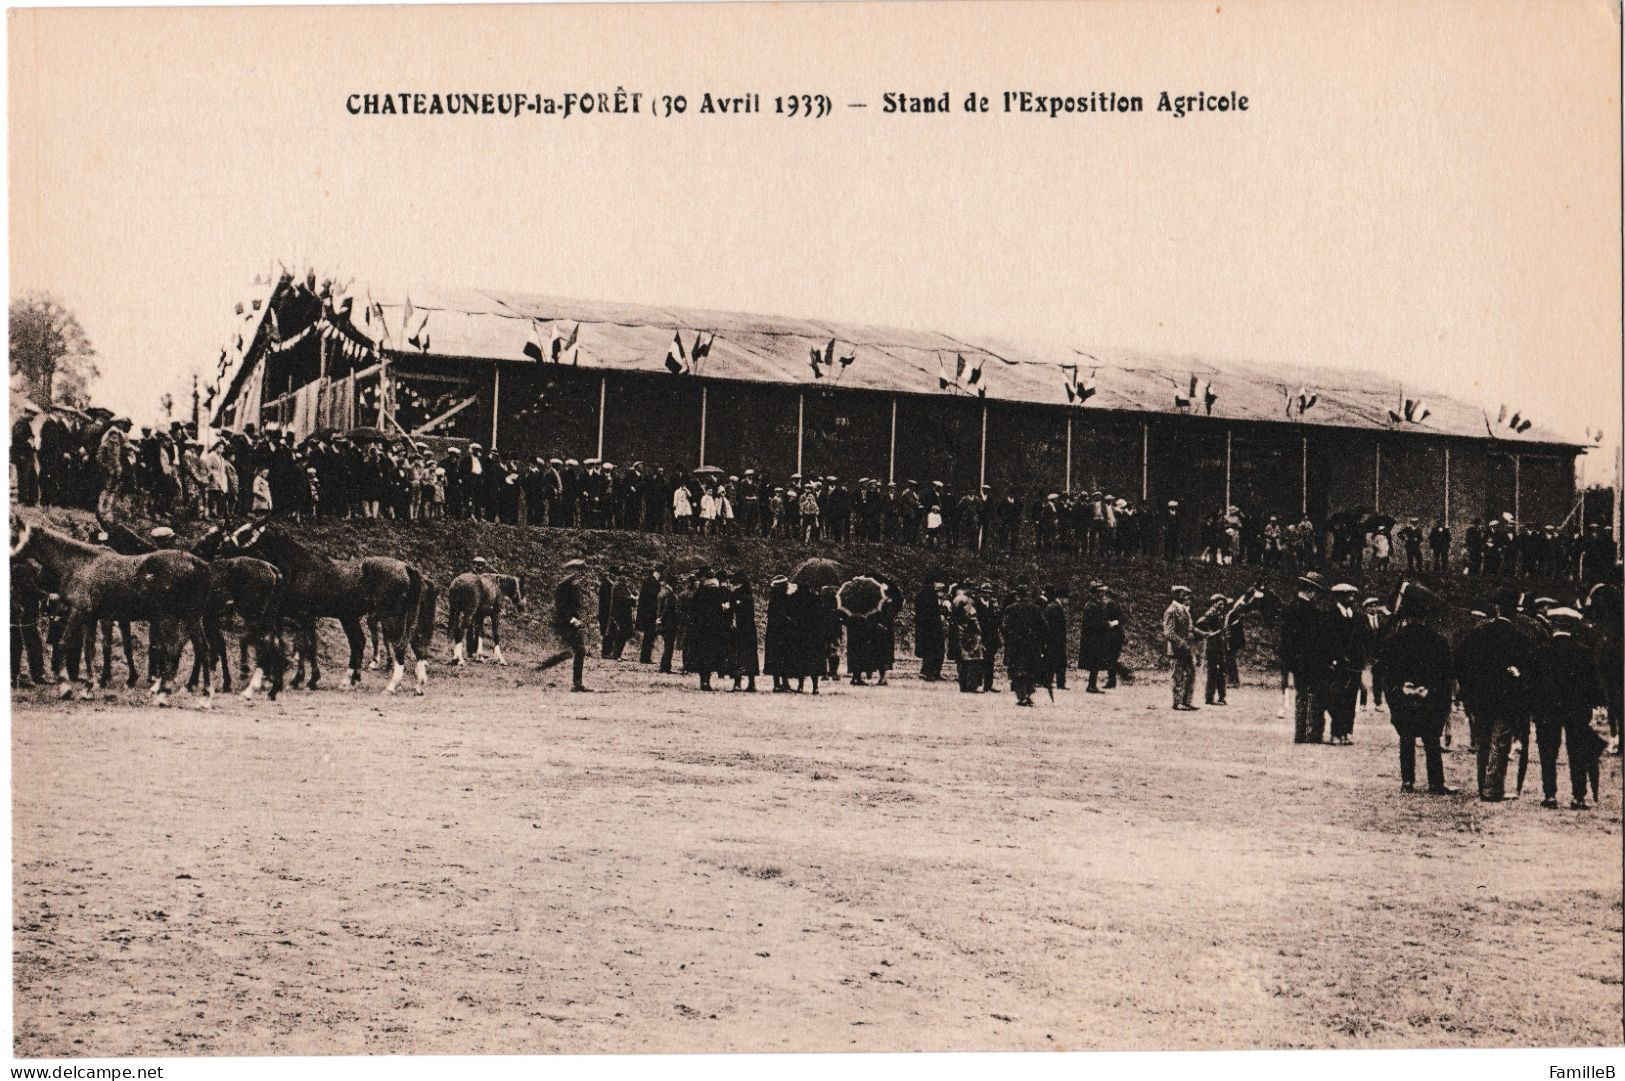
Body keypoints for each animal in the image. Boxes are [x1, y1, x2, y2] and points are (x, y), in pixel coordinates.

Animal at [11, 516, 214, 708]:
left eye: (15, 536)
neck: (81, 564)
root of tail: (199, 565)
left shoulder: (78, 612)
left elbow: (63, 644)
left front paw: (66, 689)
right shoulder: (91, 617)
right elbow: (89, 650)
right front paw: (88, 688)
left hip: (169, 617)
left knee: (173, 650)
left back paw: (163, 693)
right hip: (192, 617)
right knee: (202, 648)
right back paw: (201, 695)